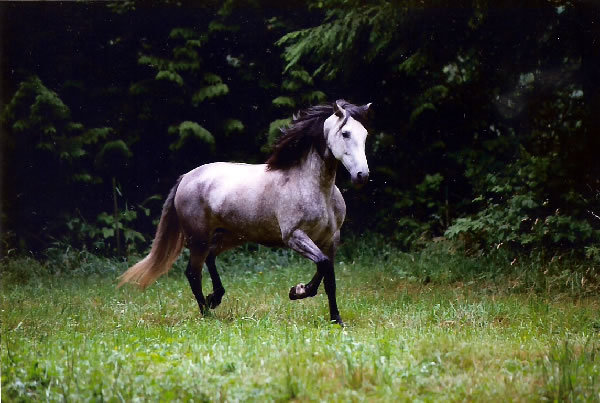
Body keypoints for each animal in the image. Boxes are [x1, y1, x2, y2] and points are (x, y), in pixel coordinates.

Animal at [117, 99, 370, 326]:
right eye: (345, 133)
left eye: (365, 134)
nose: (362, 176)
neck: (312, 185)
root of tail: (186, 177)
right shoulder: (294, 236)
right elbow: (323, 265)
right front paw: (298, 291)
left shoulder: (331, 239)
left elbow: (328, 276)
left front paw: (336, 319)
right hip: (198, 238)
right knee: (193, 272)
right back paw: (207, 314)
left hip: (230, 236)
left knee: (210, 258)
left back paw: (214, 298)